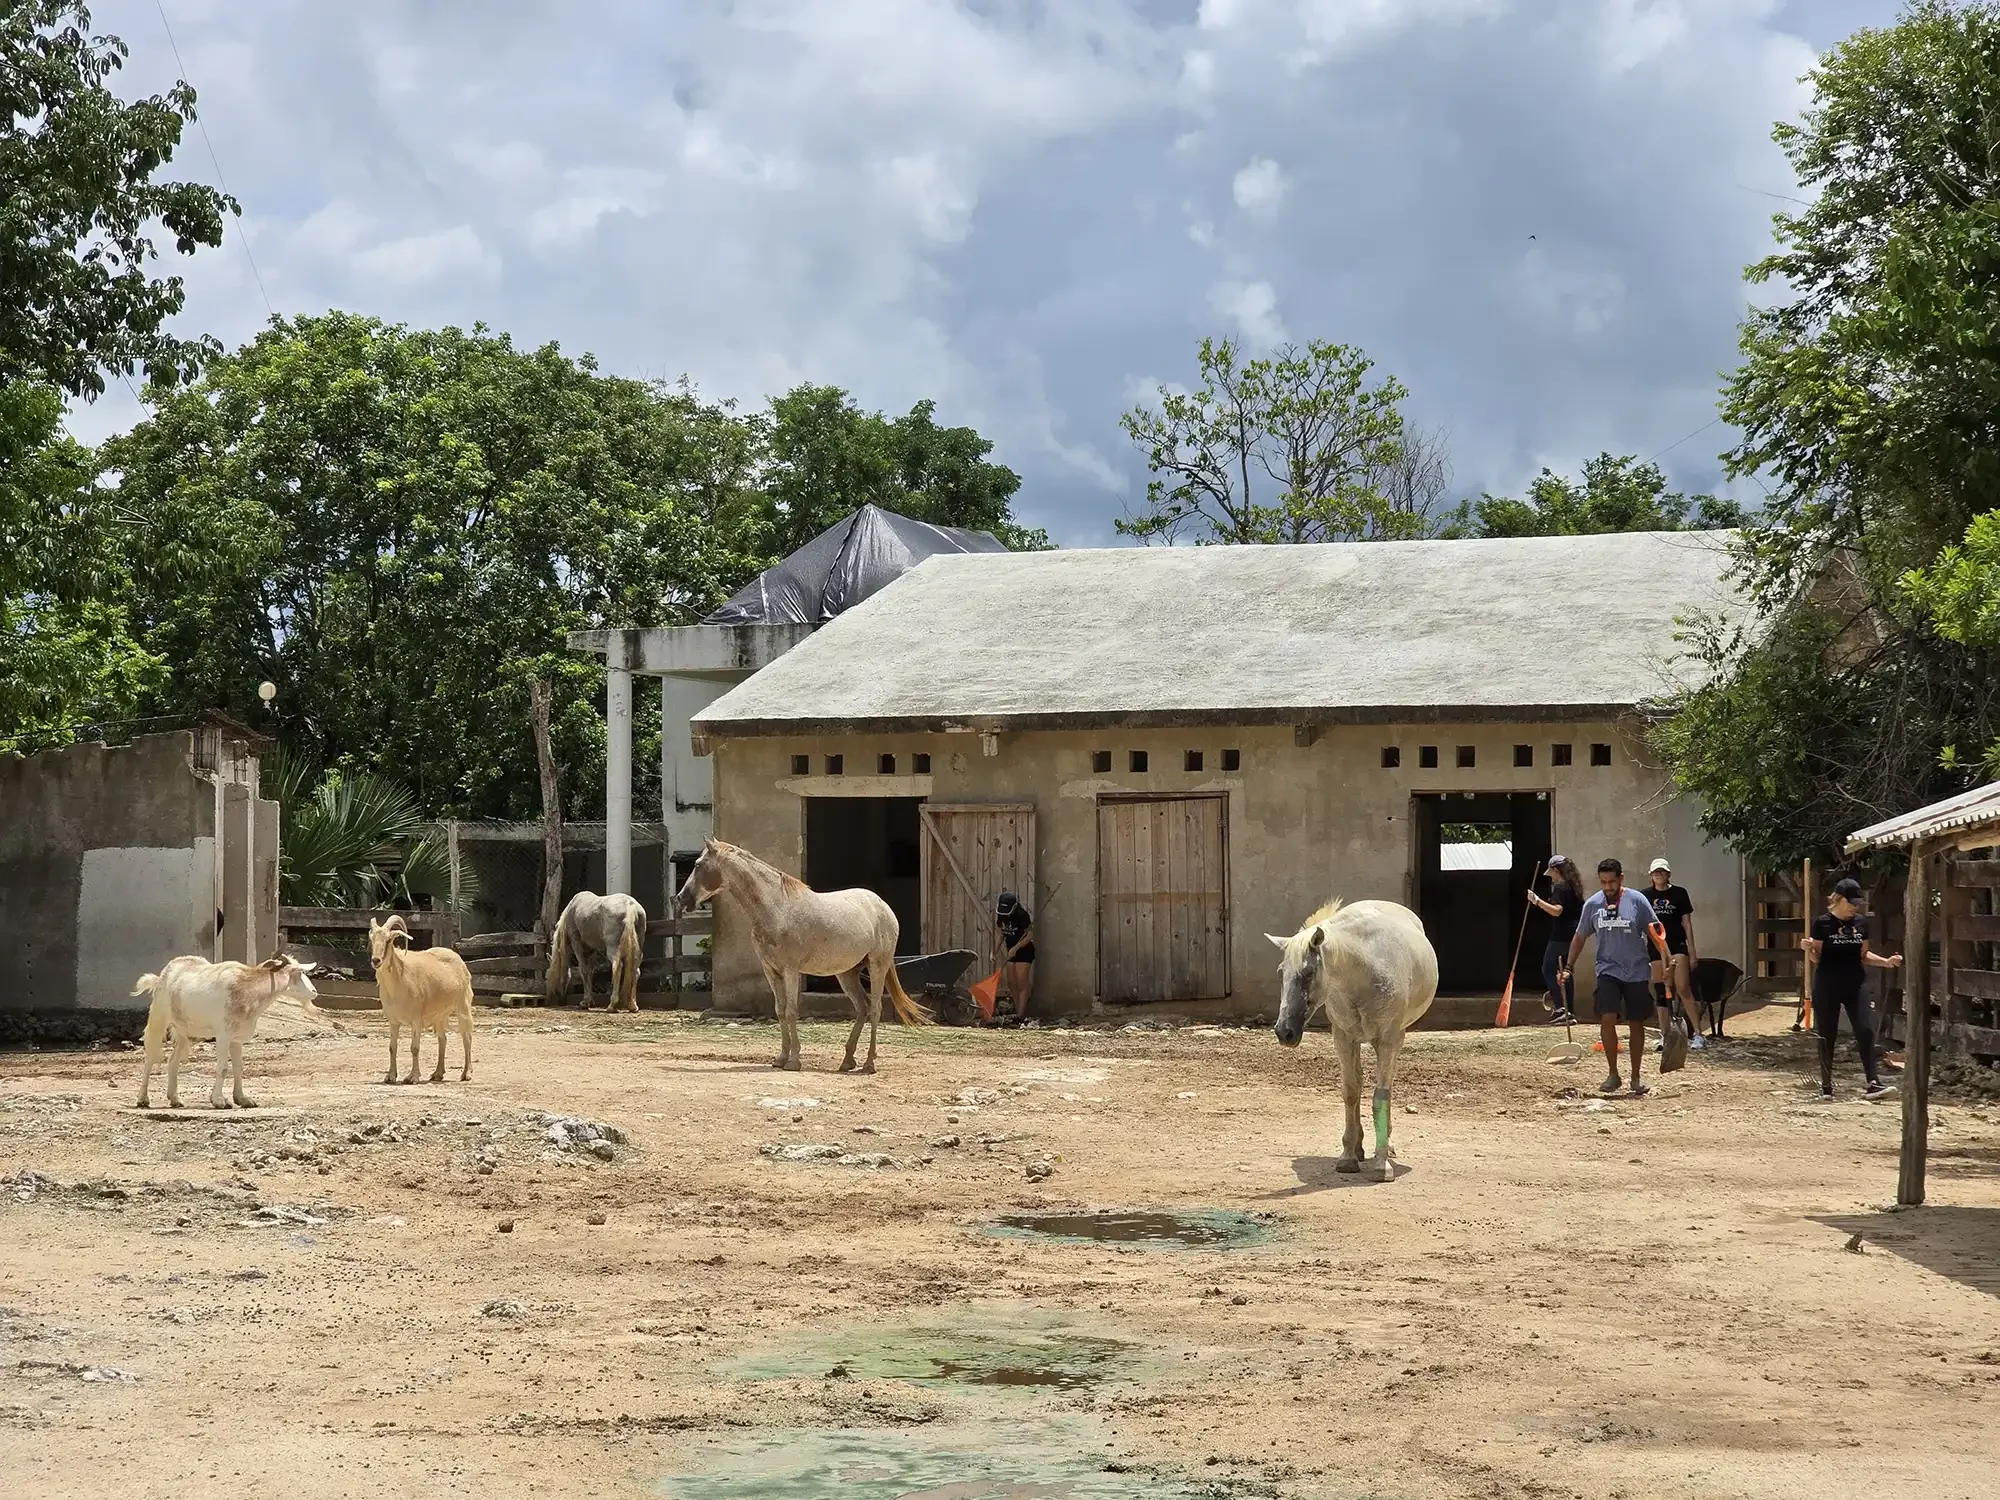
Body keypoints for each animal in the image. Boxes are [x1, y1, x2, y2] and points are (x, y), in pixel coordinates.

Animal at [134, 954, 319, 1109]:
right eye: (300, 972)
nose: (314, 992)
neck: (248, 988)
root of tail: (162, 976)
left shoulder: (236, 1039)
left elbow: (238, 1067)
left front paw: (242, 1099)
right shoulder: (223, 1035)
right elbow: (223, 1067)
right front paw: (218, 1100)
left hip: (185, 1031)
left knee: (173, 1061)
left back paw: (175, 1099)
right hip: (159, 1018)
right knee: (150, 1057)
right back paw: (143, 1099)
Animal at [369, 916, 475, 1084]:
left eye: (389, 940)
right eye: (372, 938)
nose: (376, 960)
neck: (399, 979)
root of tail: (458, 958)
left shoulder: (416, 1019)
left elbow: (414, 1048)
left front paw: (413, 1077)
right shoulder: (393, 1021)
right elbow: (392, 1047)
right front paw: (390, 1076)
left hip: (463, 1005)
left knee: (467, 1038)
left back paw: (466, 1074)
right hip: (440, 1014)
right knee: (442, 1039)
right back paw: (437, 1074)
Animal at [675, 837, 931, 1073]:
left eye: (697, 864)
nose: (680, 899)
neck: (776, 908)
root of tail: (883, 906)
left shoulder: (790, 970)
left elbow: (791, 1011)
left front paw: (794, 1061)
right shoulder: (771, 971)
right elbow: (780, 1011)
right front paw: (780, 1059)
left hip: (878, 965)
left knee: (876, 1009)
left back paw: (869, 1064)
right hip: (847, 973)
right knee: (863, 1008)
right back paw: (847, 1061)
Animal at [1269, 899, 1438, 1182]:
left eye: (1309, 972)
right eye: (1281, 973)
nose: (1284, 1032)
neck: (1364, 972)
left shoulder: (1389, 1040)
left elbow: (1381, 1097)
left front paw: (1382, 1164)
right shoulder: (1344, 1038)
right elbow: (1350, 1092)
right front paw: (1348, 1157)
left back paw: (1387, 1144)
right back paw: (1358, 1148)